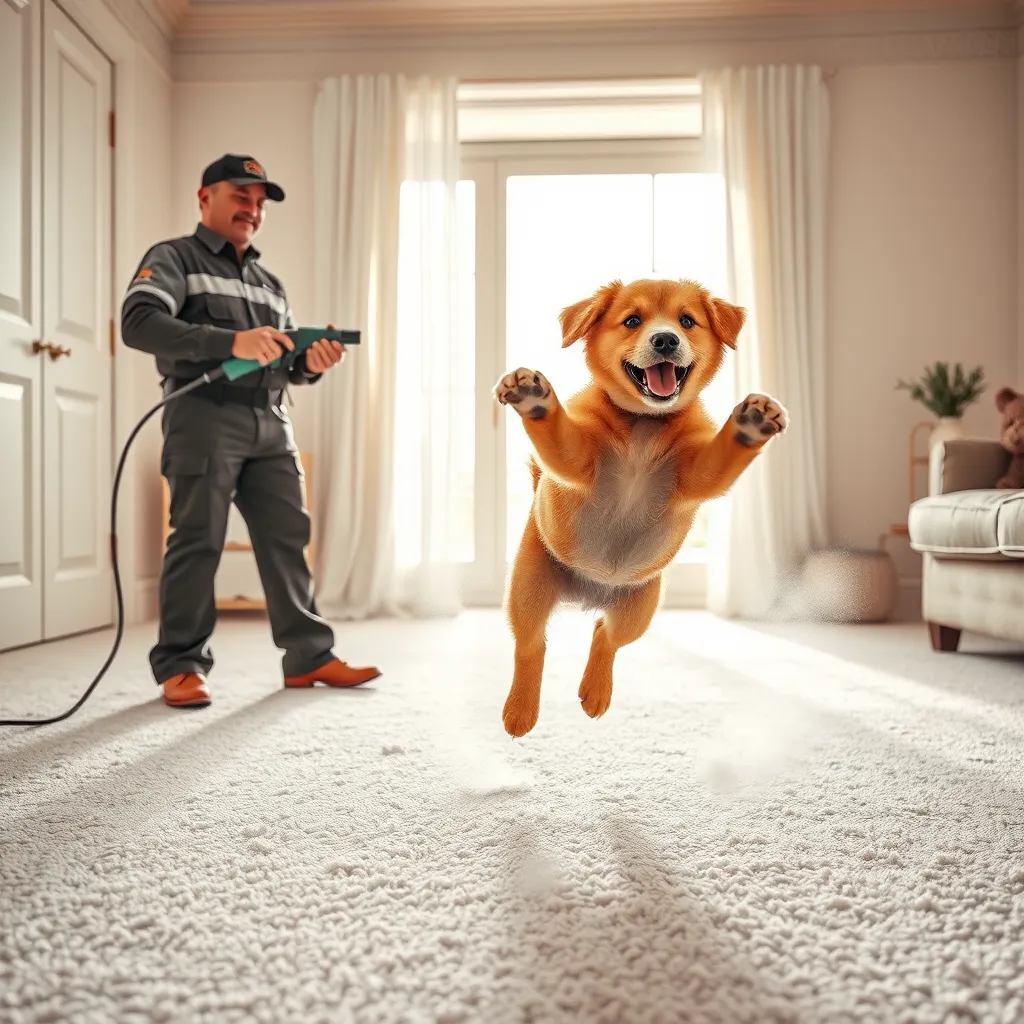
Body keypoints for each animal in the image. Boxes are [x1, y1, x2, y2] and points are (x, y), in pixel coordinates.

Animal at [491, 278, 786, 737]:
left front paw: (750, 425)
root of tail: (590, 591)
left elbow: (721, 457)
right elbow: (557, 436)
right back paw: (521, 710)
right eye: (632, 321)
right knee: (530, 643)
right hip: (529, 587)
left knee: (605, 636)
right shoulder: (577, 461)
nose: (666, 339)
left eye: (687, 321)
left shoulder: (697, 474)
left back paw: (595, 691)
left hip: (639, 608)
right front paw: (534, 399)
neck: (644, 424)